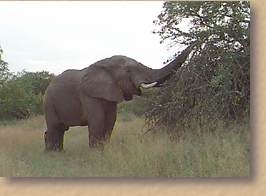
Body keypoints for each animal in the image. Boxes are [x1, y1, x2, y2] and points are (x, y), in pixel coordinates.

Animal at [43, 43, 196, 152]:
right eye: (128, 71)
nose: (196, 42)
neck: (104, 64)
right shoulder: (87, 94)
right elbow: (98, 120)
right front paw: (96, 153)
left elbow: (111, 121)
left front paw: (104, 150)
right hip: (49, 102)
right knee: (54, 126)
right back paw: (53, 153)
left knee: (60, 129)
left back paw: (57, 152)